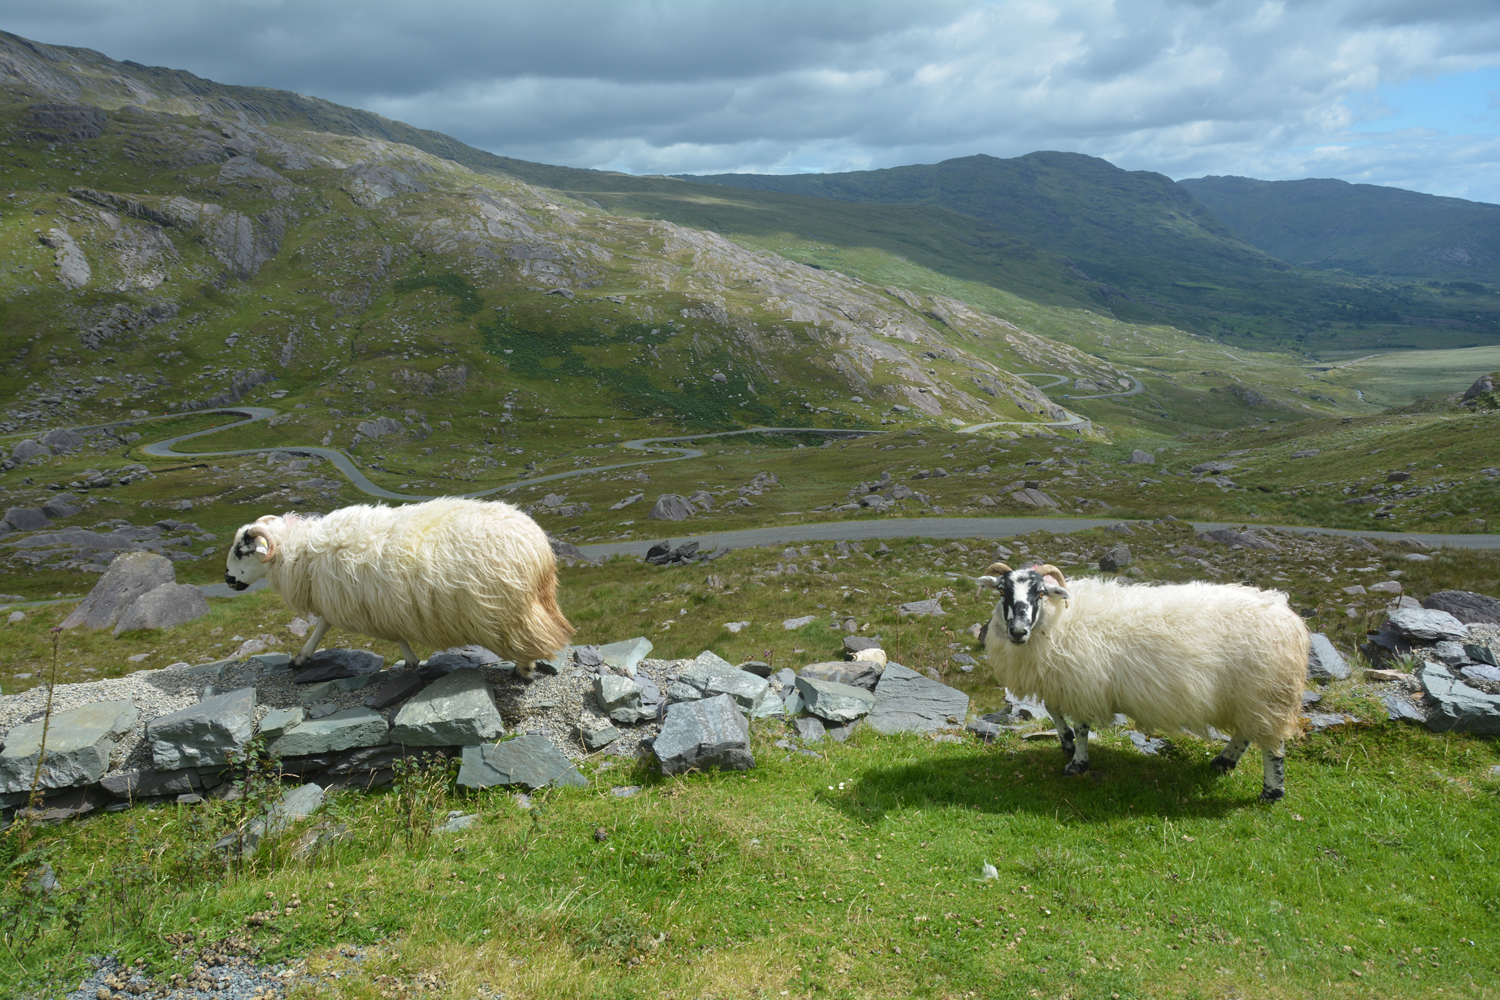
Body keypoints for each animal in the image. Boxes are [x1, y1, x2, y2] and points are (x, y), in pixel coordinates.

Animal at [222, 497, 573, 680]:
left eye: (241, 550)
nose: (226, 579)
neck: (300, 553)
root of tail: (538, 547)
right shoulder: (371, 601)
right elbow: (324, 625)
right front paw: (303, 656)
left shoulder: (357, 601)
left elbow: (332, 625)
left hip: (508, 608)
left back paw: (524, 668)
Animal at [978, 563, 1308, 803]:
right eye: (1002, 592)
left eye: (1039, 593)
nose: (1017, 631)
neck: (1060, 618)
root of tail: (1287, 614)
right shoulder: (1059, 680)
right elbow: (1054, 711)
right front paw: (1066, 742)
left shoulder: (1084, 683)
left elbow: (1082, 728)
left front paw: (1078, 764)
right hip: (1249, 697)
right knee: (1245, 733)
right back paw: (1223, 762)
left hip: (1267, 693)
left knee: (1273, 747)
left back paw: (1271, 792)